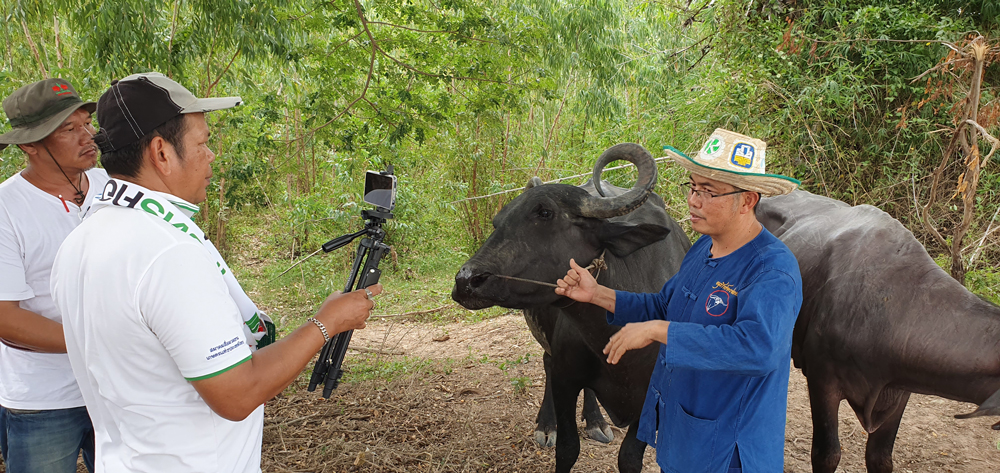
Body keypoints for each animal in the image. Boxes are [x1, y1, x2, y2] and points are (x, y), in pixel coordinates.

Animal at [452, 142, 692, 470]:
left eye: (544, 212)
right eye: (497, 222)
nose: (466, 281)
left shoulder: (651, 400)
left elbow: (629, 458)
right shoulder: (565, 380)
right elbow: (567, 448)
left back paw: (596, 421)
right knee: (547, 360)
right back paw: (547, 424)